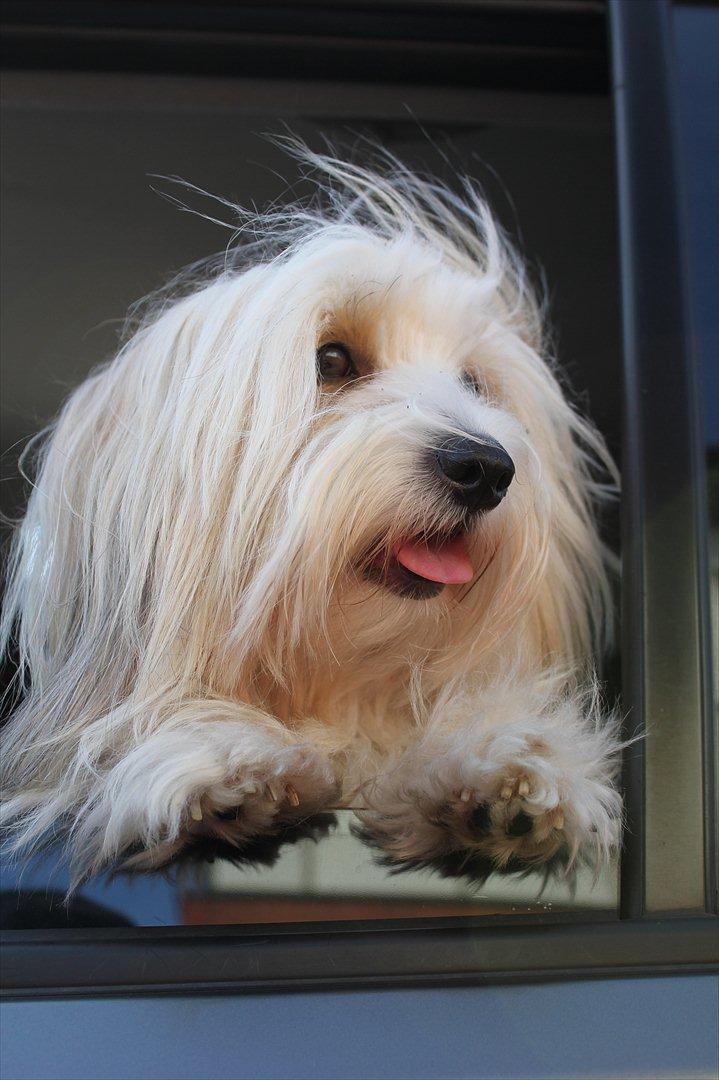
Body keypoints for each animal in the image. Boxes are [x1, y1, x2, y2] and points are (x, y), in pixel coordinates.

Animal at [0, 145, 621, 885]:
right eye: (330, 359)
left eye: (475, 383)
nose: (485, 468)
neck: (339, 691)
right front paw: (225, 756)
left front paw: (502, 766)